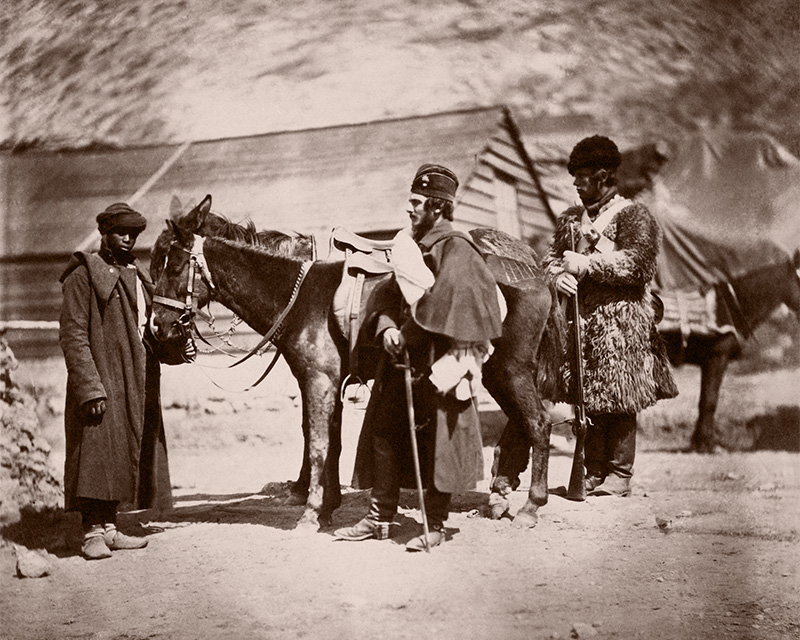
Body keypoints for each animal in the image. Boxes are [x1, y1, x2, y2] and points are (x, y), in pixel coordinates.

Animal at [150, 195, 564, 528]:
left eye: (173, 266)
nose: (158, 327)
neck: (300, 292)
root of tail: (534, 274)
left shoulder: (318, 379)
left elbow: (317, 441)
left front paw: (309, 508)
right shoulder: (327, 381)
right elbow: (328, 440)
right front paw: (325, 505)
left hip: (508, 370)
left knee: (538, 423)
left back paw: (529, 505)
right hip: (500, 372)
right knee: (524, 422)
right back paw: (500, 495)